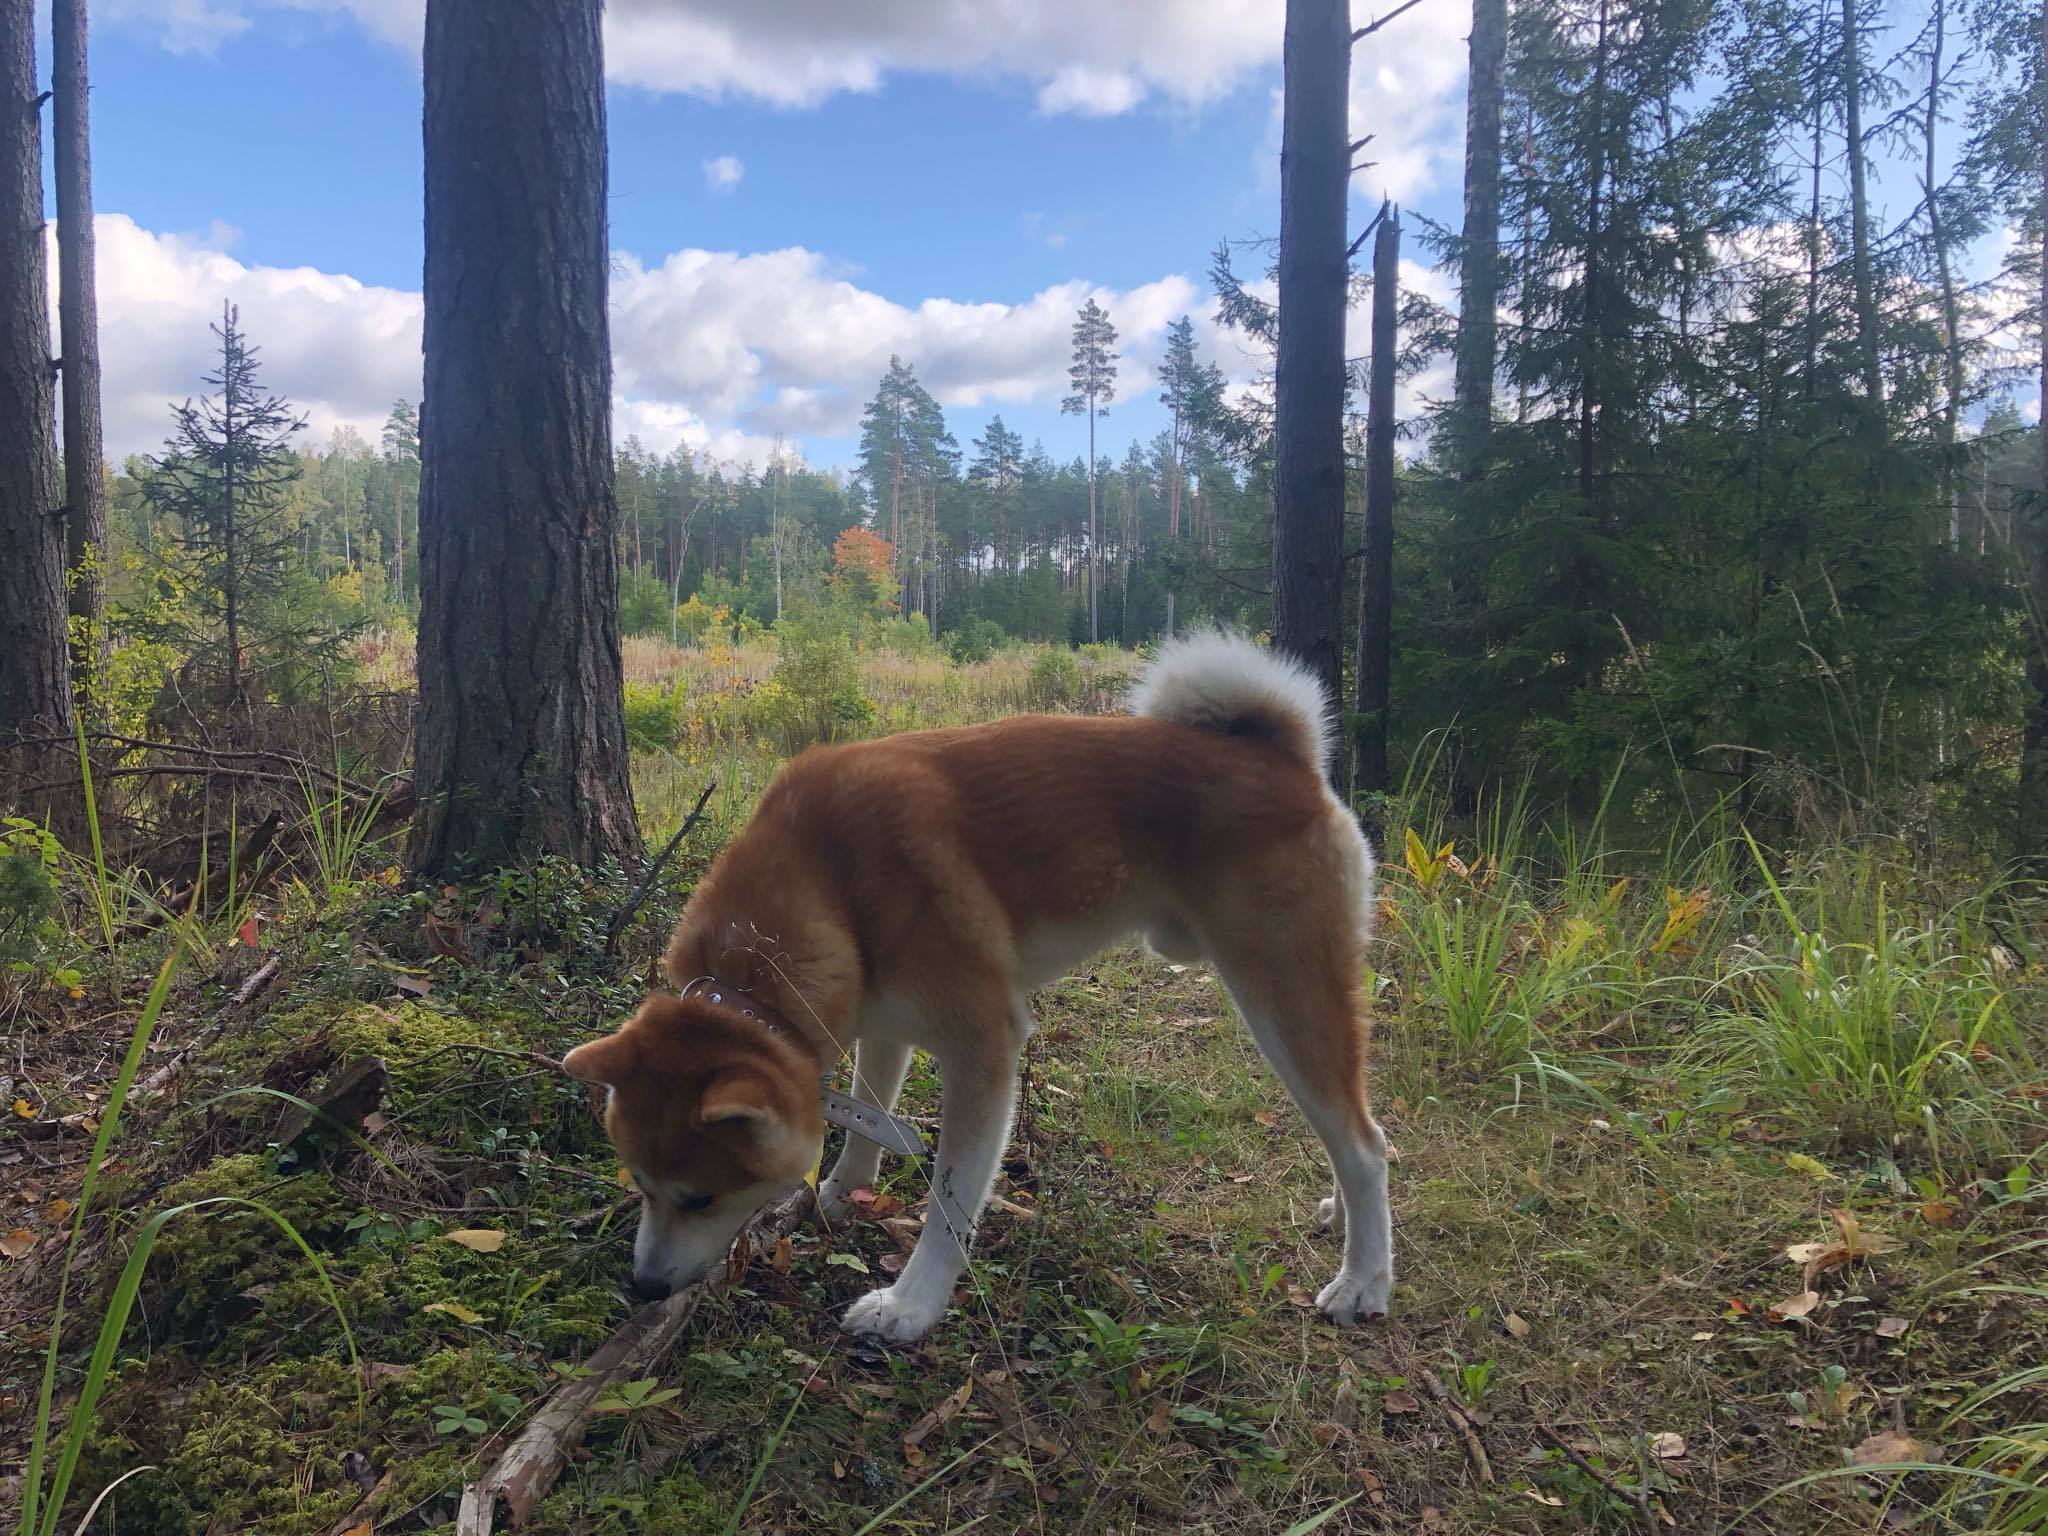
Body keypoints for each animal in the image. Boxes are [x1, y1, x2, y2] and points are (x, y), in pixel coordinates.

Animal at [561, 630, 1392, 1343]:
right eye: (639, 1184)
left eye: (699, 1196)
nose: (644, 1287)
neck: (829, 879)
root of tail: (1282, 754)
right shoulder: (880, 1022)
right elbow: (867, 1117)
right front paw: (842, 1193)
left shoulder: (983, 1047)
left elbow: (951, 1200)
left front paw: (910, 1305)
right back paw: (1338, 1218)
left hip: (1286, 999)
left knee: (1365, 1144)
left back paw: (1364, 1281)